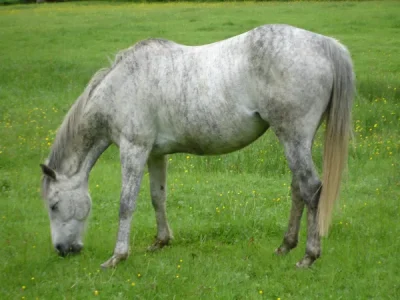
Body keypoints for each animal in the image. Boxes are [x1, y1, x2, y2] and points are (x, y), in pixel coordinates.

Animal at [39, 23, 354, 268]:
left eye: (53, 205)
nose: (62, 250)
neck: (121, 86)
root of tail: (324, 44)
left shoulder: (133, 149)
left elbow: (126, 204)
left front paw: (117, 256)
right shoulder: (154, 154)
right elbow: (157, 197)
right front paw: (160, 241)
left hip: (293, 136)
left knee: (310, 188)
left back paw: (309, 256)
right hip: (295, 140)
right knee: (297, 189)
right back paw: (286, 246)